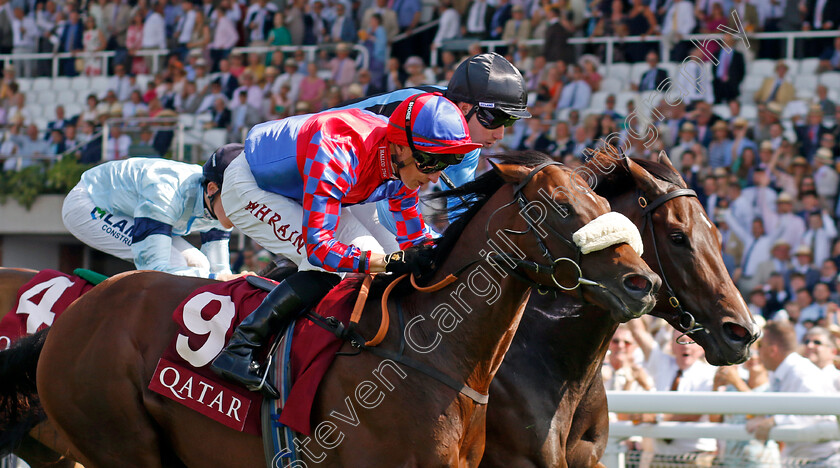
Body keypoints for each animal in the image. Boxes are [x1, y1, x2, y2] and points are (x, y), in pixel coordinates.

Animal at [4, 152, 664, 466]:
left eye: (602, 201)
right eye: (558, 207)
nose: (642, 282)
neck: (428, 357)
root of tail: (69, 322)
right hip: (119, 442)